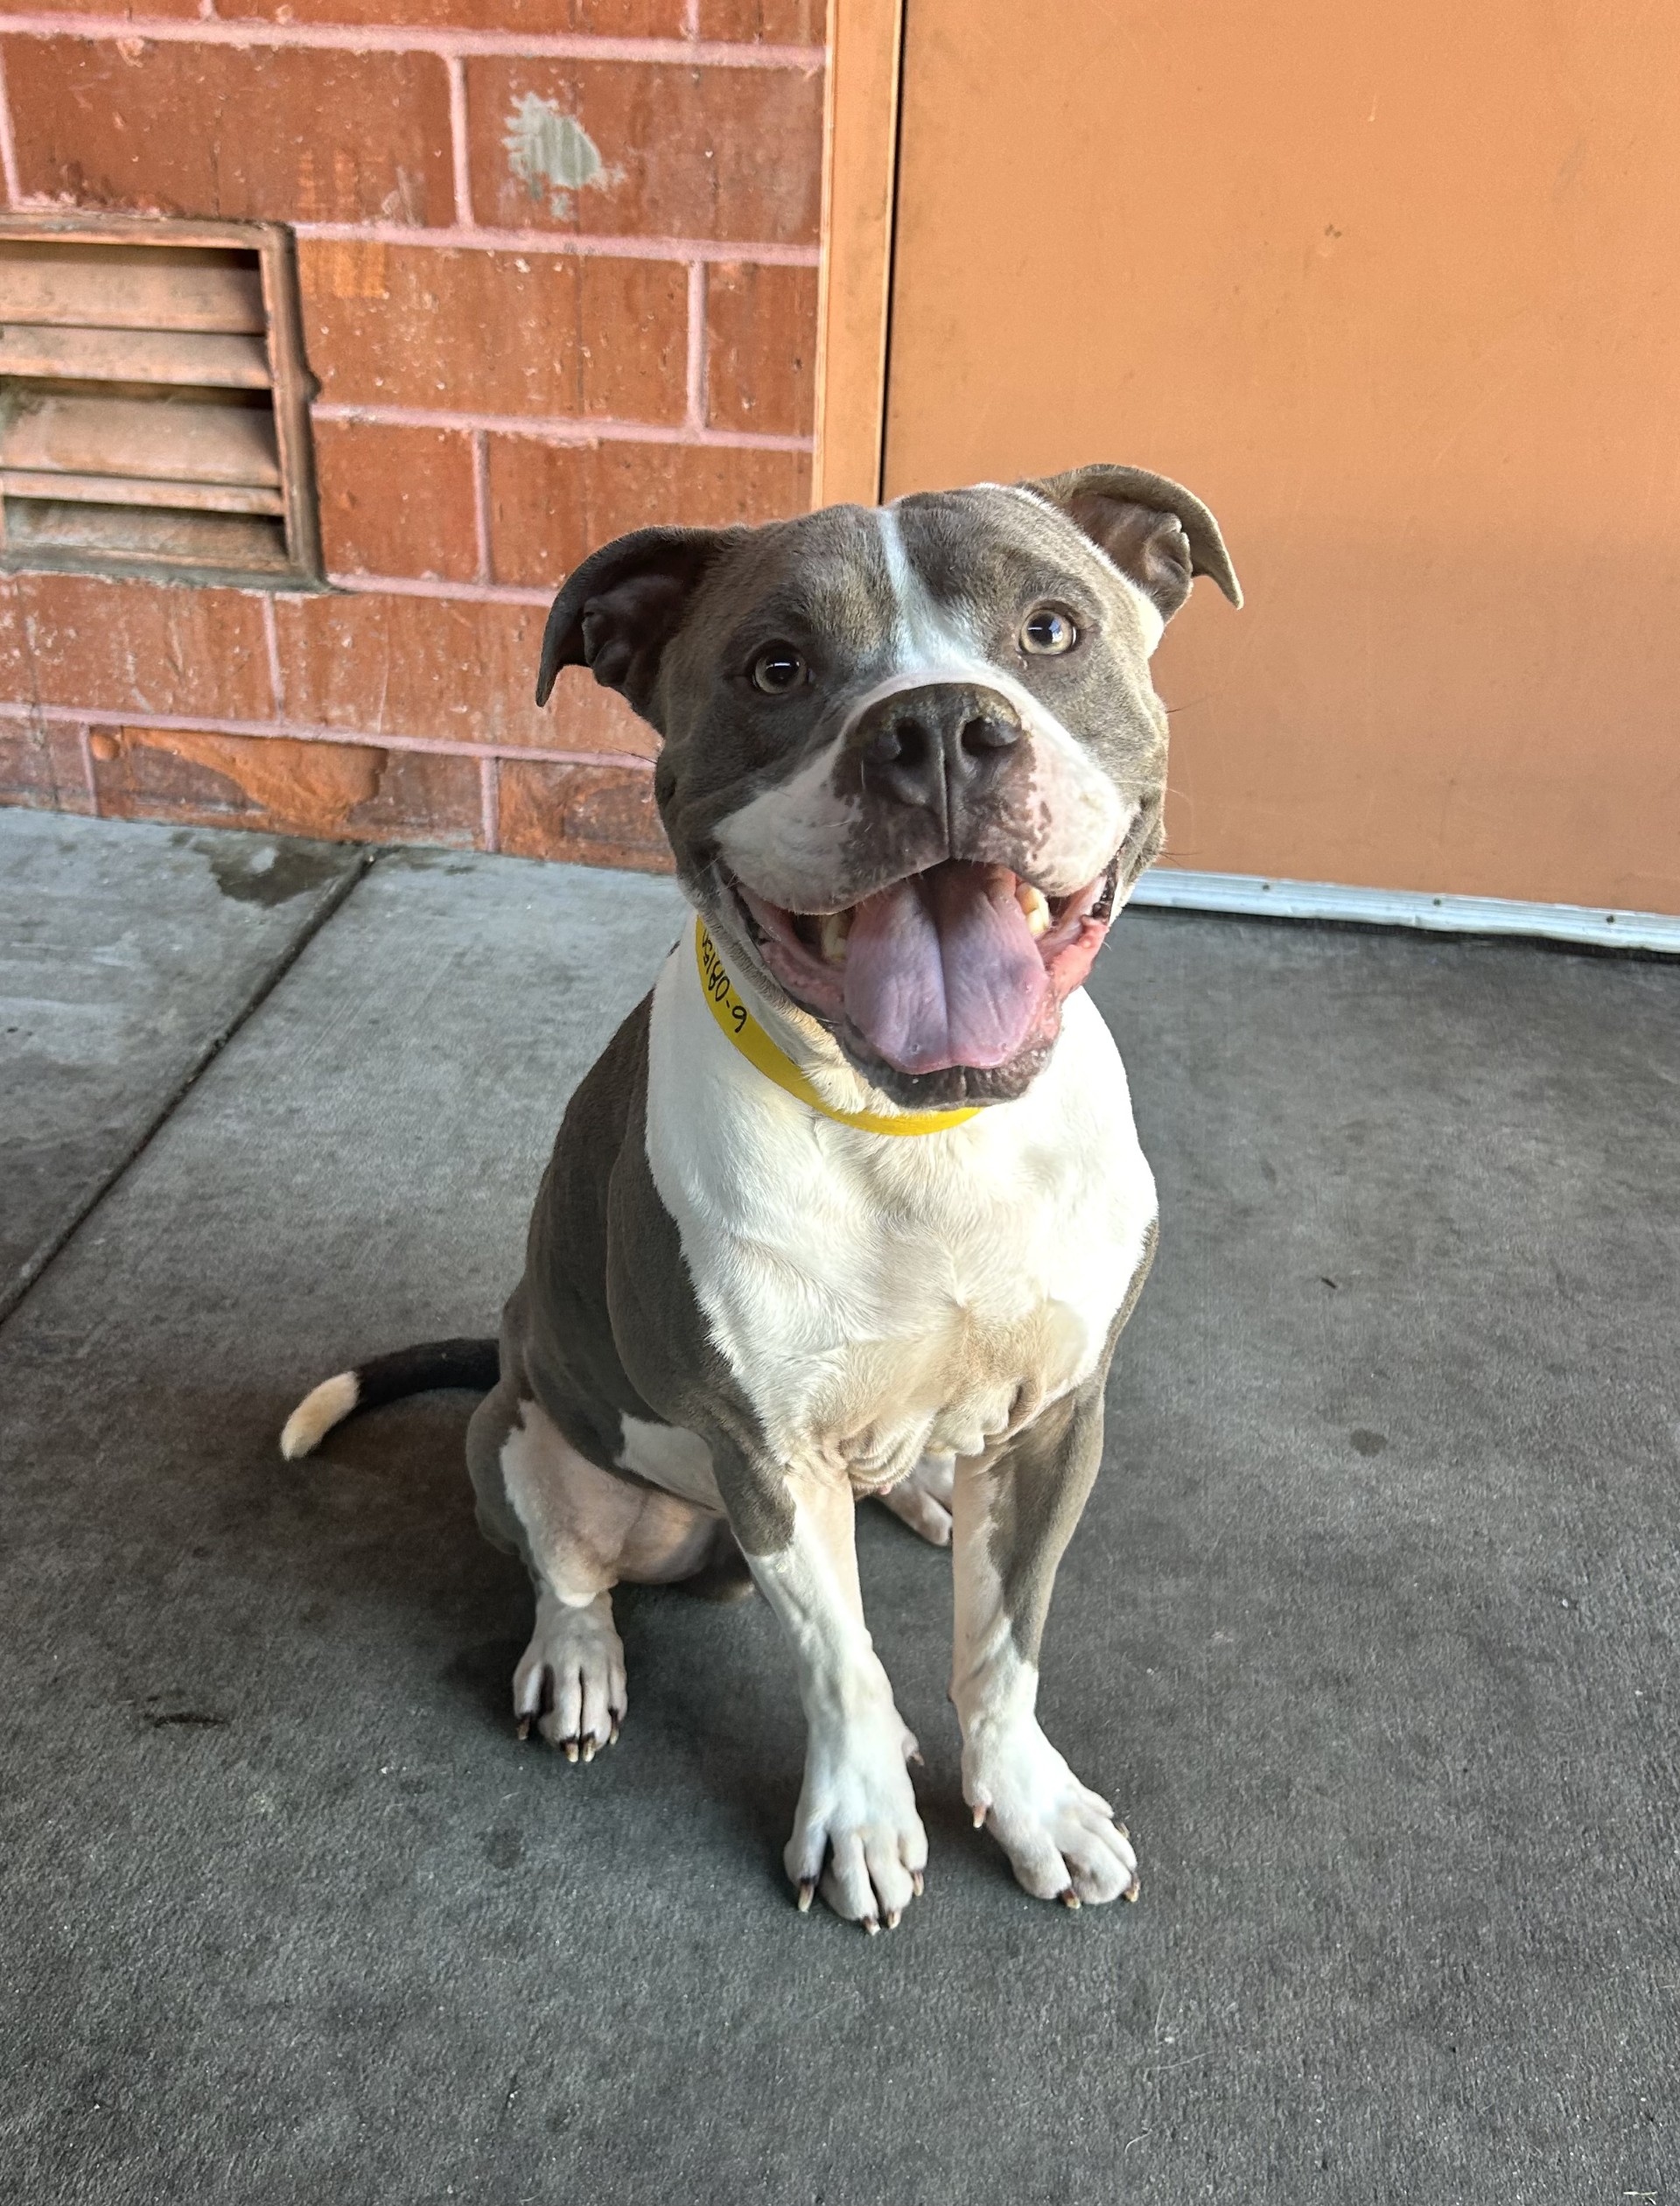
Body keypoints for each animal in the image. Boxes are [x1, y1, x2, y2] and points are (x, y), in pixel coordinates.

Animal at [281, 464, 1240, 1930]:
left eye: (1052, 631)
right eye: (776, 666)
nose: (939, 728)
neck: (924, 1131)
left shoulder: (1058, 1419)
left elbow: (1003, 1647)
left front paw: (1028, 1801)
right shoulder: (766, 1454)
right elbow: (839, 1659)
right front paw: (860, 1818)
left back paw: (924, 1493)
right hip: (525, 1439)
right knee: (569, 1571)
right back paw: (578, 1660)